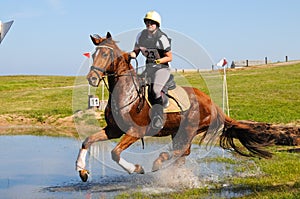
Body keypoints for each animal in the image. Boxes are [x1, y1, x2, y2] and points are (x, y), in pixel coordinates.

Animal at [75, 32, 272, 182]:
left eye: (105, 55)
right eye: (94, 55)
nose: (92, 78)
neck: (126, 92)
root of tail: (212, 102)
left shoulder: (135, 131)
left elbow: (115, 153)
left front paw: (136, 168)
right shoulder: (114, 130)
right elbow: (87, 141)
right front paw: (82, 170)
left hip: (189, 129)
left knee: (181, 151)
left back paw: (159, 163)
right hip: (177, 131)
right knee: (182, 153)